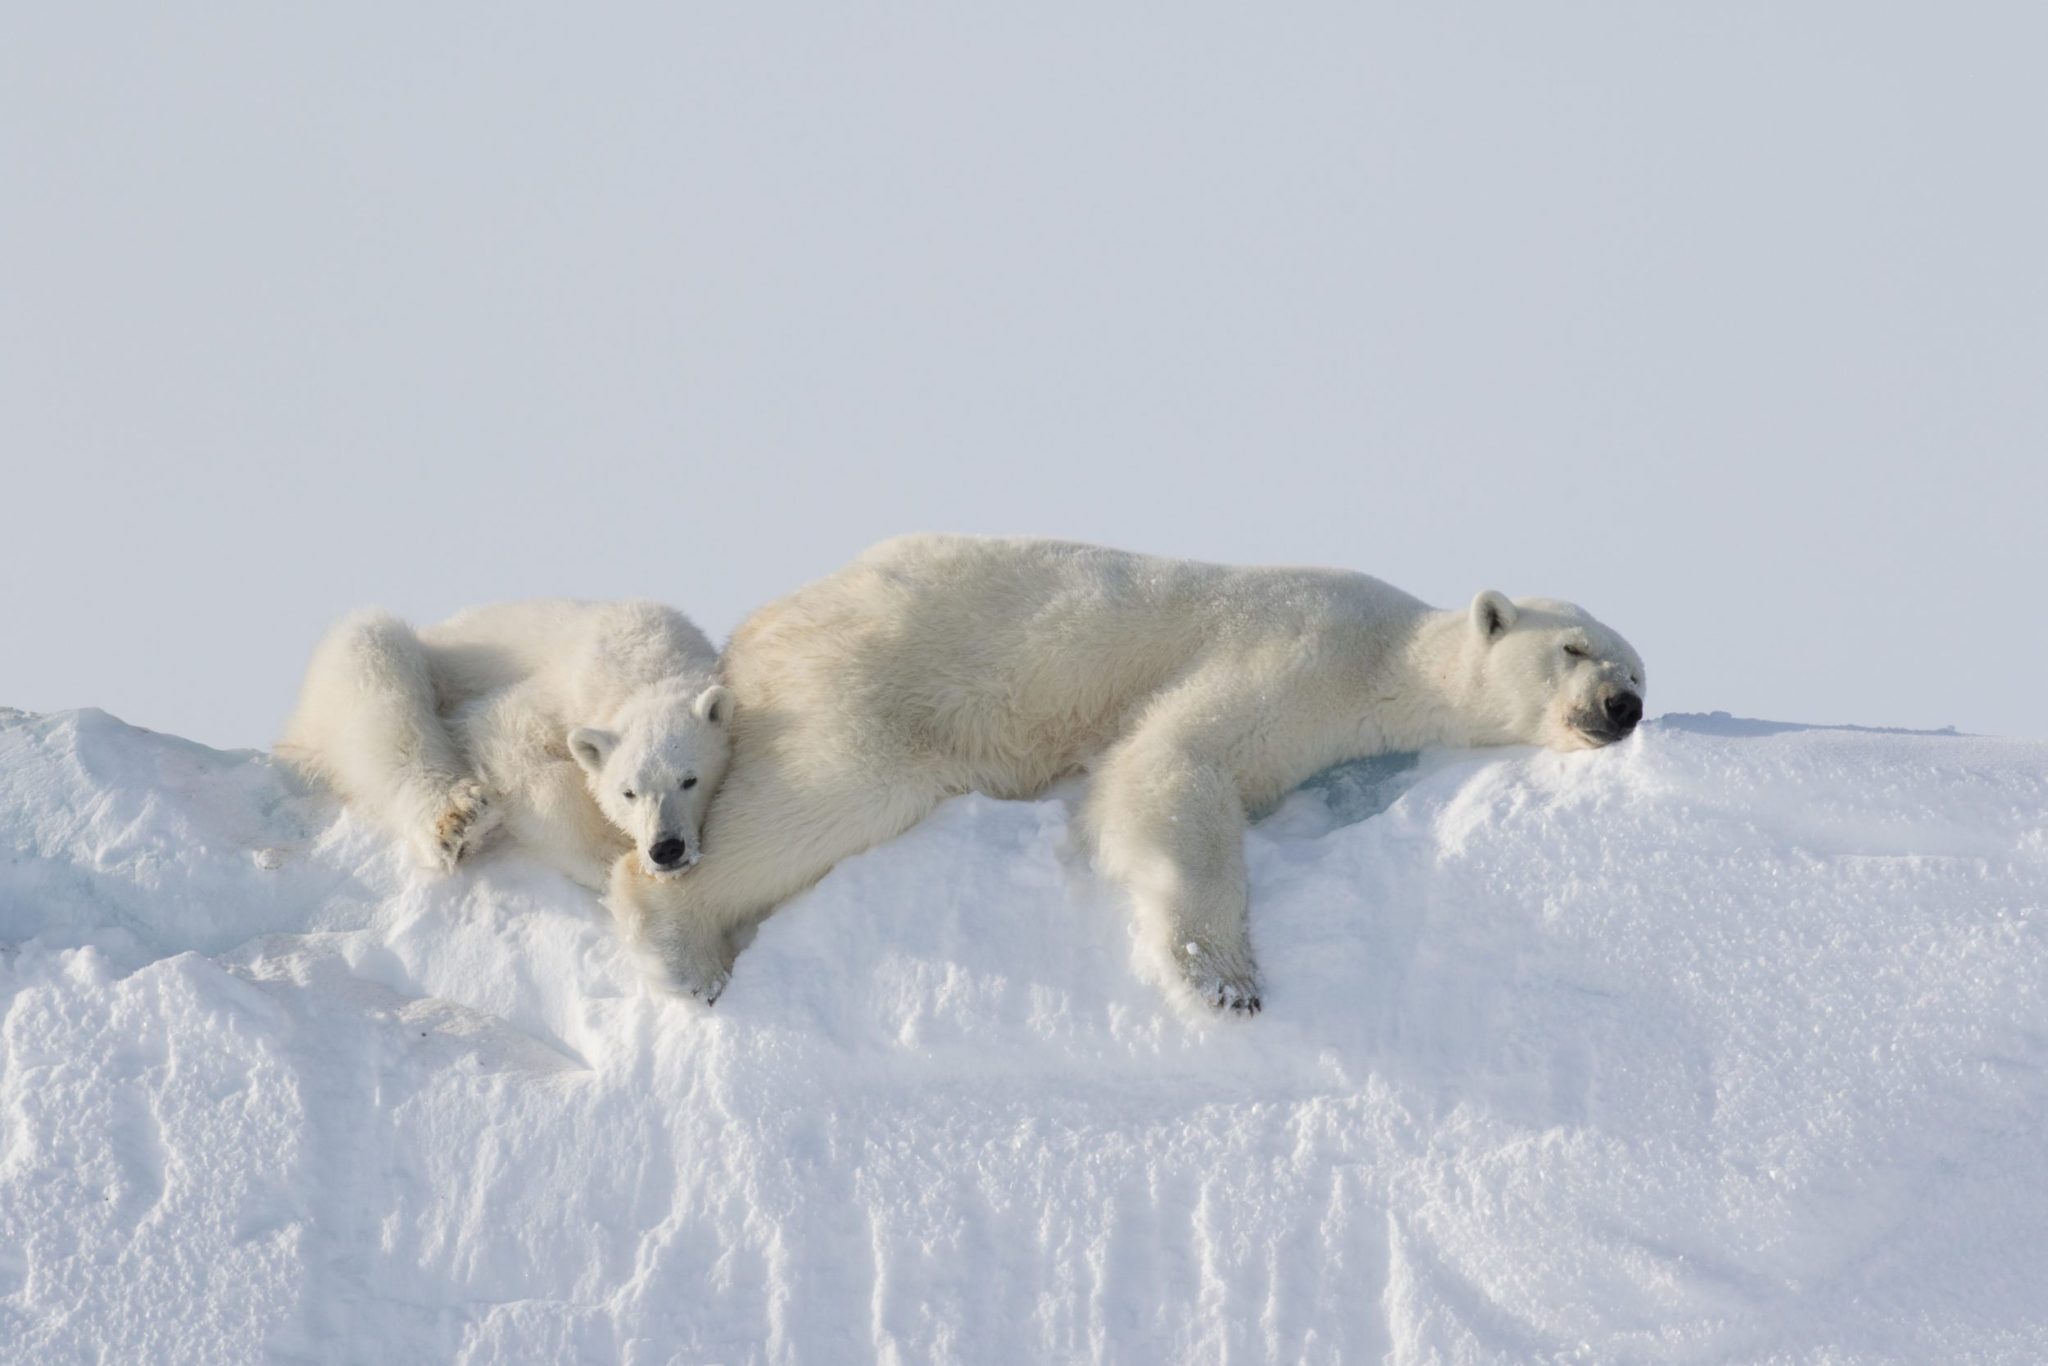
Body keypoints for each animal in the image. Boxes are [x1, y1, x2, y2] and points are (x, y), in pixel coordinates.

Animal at [276, 598, 733, 888]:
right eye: (629, 792)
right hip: (393, 669)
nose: (666, 848)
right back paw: (460, 819)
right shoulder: (559, 695)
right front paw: (608, 854)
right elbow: (503, 736)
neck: (646, 662)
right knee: (377, 674)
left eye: (690, 780)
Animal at [618, 536, 1646, 1015]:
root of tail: (755, 629)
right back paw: (683, 943)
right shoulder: (1296, 651)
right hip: (859, 683)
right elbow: (1176, 759)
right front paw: (1225, 979)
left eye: (1638, 669)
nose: (1620, 708)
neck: (1385, 654)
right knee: (829, 791)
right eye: (1574, 647)